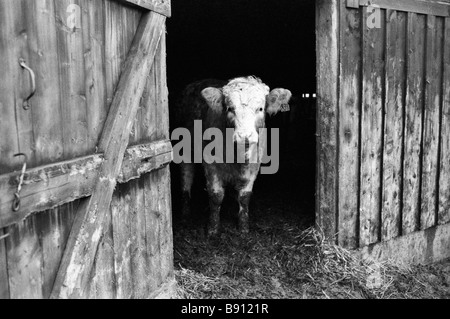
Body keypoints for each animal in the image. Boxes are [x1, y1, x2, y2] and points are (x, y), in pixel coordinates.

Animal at [176, 76, 292, 236]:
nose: (244, 137)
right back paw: (185, 213)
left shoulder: (254, 166)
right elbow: (216, 195)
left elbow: (244, 196)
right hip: (185, 150)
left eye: (260, 108)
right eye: (230, 109)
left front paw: (243, 228)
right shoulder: (211, 166)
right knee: (186, 177)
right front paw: (213, 229)